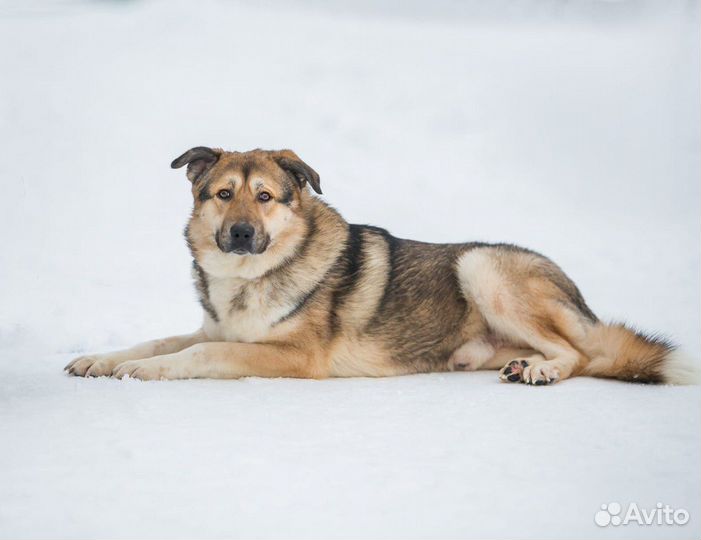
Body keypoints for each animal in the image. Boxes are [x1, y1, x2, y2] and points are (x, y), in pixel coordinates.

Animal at [65, 147, 696, 384]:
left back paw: (542, 370)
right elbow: (160, 340)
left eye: (264, 197)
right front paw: (103, 358)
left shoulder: (295, 357)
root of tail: (582, 300)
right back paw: (520, 363)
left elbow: (199, 354)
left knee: (582, 354)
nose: (241, 234)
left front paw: (145, 372)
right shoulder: (213, 327)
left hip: (481, 266)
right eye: (223, 195)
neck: (251, 279)